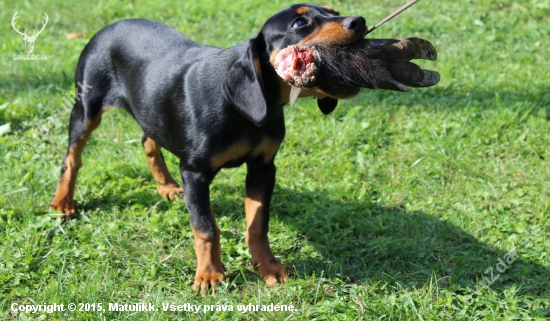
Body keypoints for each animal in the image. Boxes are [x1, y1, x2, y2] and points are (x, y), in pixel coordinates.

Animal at [51, 3, 440, 292]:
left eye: (334, 11)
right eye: (300, 22)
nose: (358, 22)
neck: (246, 109)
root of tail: (110, 25)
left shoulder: (264, 167)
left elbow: (257, 222)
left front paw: (267, 266)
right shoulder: (195, 173)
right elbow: (206, 227)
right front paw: (209, 275)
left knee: (150, 139)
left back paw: (165, 186)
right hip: (86, 107)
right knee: (72, 158)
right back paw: (63, 203)